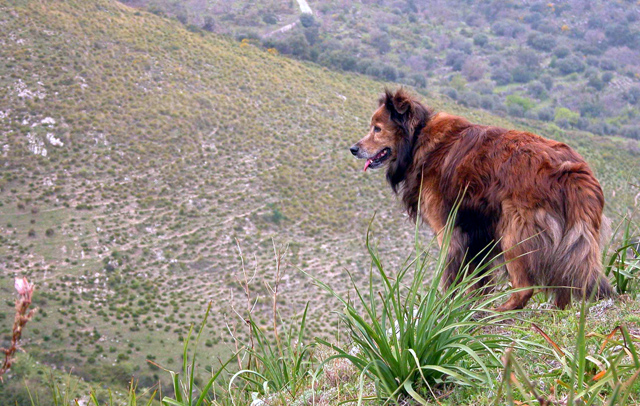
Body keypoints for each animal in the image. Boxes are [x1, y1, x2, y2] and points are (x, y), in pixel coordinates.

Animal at [352, 89, 612, 310]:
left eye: (377, 128)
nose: (353, 149)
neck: (418, 139)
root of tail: (571, 169)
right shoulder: (479, 237)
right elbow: (480, 282)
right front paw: (469, 305)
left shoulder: (450, 233)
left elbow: (451, 278)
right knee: (564, 283)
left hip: (514, 234)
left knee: (525, 288)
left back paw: (499, 311)